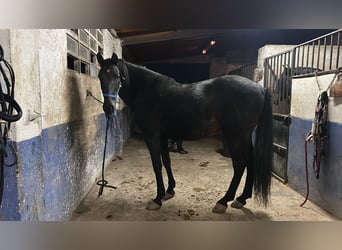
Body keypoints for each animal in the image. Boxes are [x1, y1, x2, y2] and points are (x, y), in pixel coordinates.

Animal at [96, 52, 272, 213]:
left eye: (117, 76)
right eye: (99, 76)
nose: (108, 108)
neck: (147, 91)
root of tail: (259, 87)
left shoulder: (152, 136)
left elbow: (156, 165)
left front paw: (157, 199)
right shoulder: (163, 136)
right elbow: (167, 161)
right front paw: (169, 190)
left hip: (236, 136)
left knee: (240, 165)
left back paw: (223, 201)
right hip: (244, 135)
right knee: (251, 161)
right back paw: (241, 199)